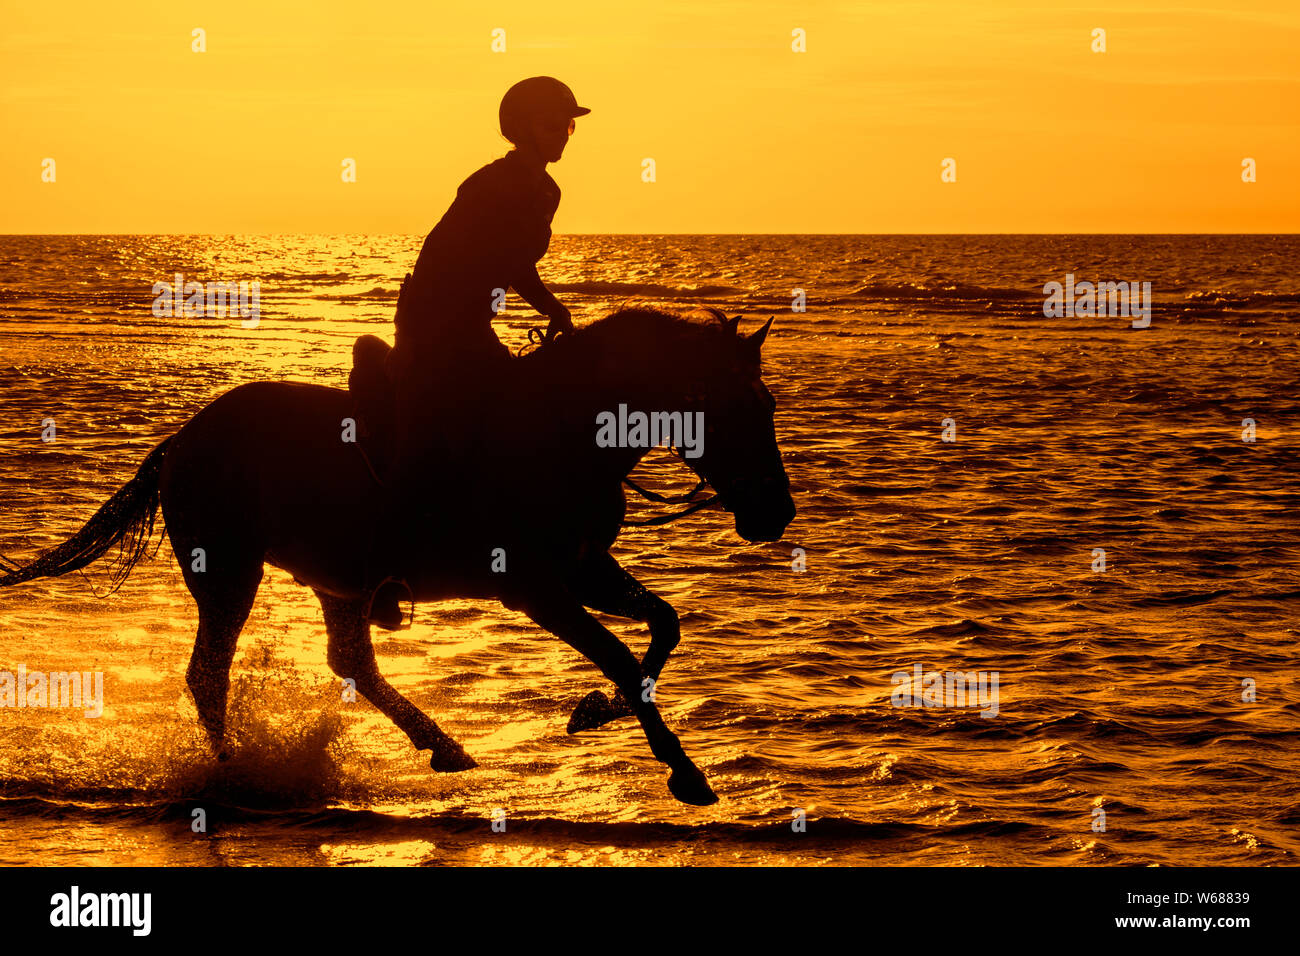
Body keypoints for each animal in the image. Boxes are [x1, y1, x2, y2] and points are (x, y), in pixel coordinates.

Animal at [0, 307, 795, 806]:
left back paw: (442, 744)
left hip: (335, 579)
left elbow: (663, 627)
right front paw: (682, 771)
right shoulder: (538, 587)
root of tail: (182, 441)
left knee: (350, 662)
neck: (567, 428)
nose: (777, 513)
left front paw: (595, 713)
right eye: (740, 409)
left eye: (769, 407)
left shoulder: (583, 568)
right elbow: (625, 659)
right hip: (230, 571)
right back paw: (232, 773)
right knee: (209, 672)